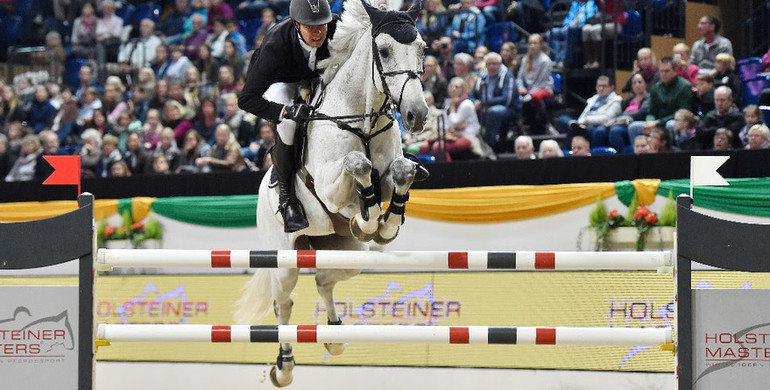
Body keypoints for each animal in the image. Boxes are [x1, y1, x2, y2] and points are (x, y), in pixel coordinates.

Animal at [234, 0, 426, 386]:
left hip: (348, 253)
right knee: (283, 303)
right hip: (285, 260)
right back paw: (284, 366)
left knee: (325, 279)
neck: (361, 120)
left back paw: (335, 336)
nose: (417, 114)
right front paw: (369, 219)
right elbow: (357, 164)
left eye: (422, 49)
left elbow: (400, 172)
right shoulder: (328, 185)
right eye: (384, 51)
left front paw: (384, 225)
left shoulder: (390, 172)